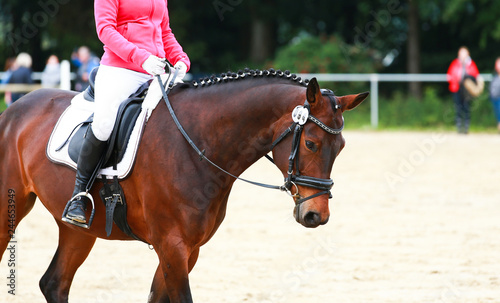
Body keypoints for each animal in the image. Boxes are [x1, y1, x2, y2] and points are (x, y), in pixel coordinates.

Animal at [0, 69, 368, 303]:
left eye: (341, 147)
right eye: (311, 144)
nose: (316, 215)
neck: (196, 144)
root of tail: (16, 108)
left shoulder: (189, 249)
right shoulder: (171, 245)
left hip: (79, 229)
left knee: (54, 284)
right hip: (10, 211)